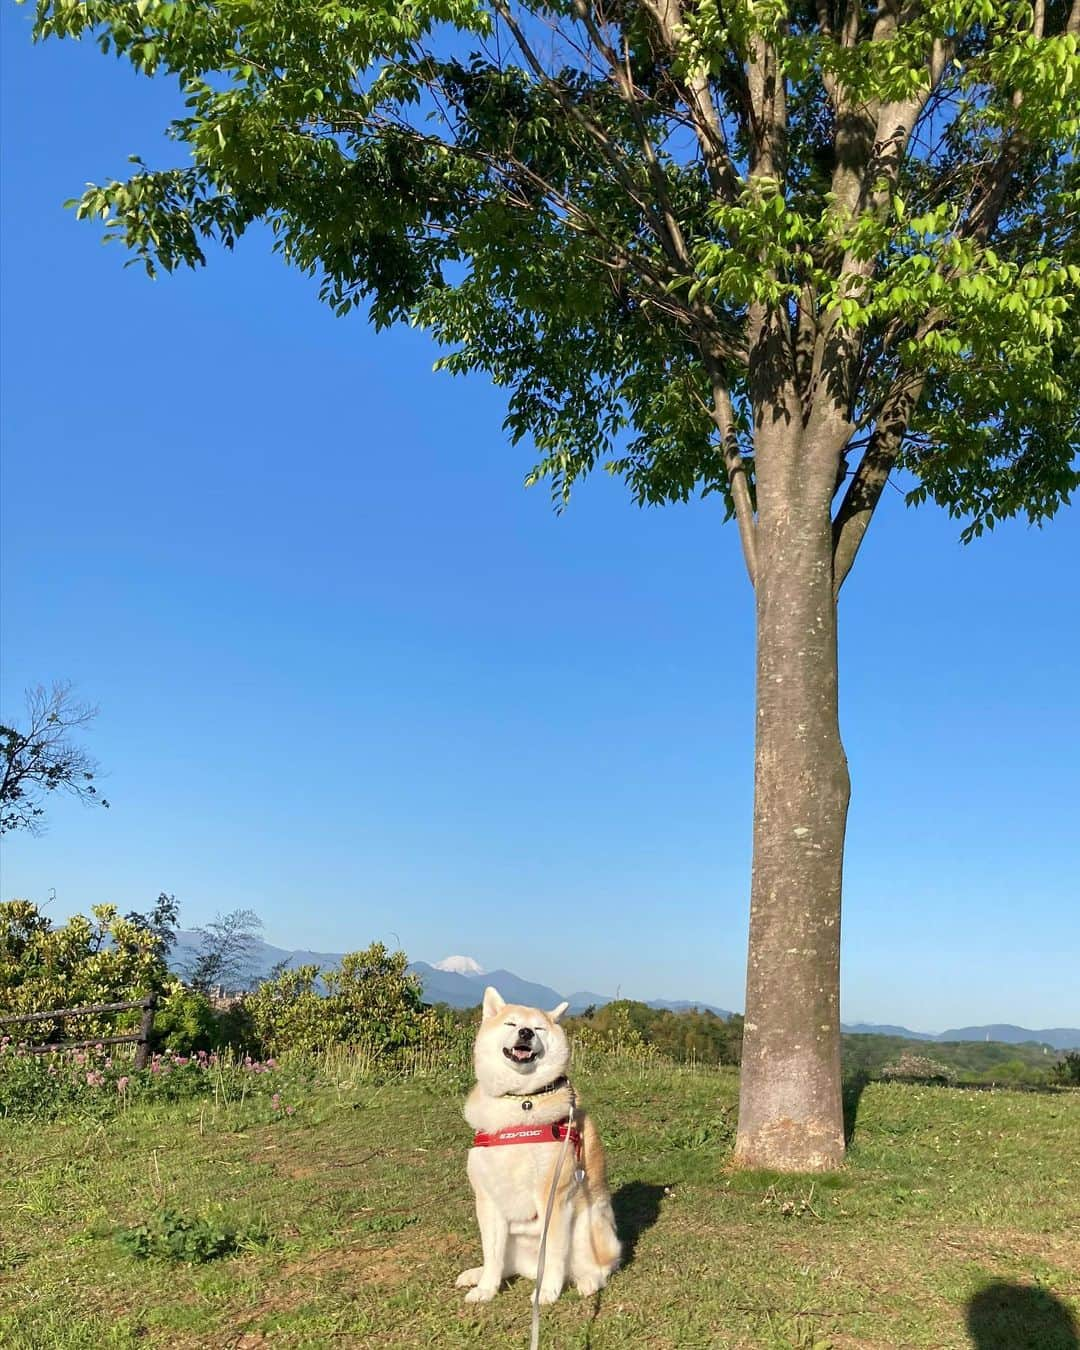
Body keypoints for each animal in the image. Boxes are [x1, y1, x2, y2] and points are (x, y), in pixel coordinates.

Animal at [459, 988, 623, 1301]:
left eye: (538, 1029)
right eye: (511, 1024)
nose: (525, 1032)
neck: (521, 1101)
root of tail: (528, 1268)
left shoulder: (554, 1196)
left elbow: (555, 1253)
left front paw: (547, 1292)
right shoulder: (487, 1199)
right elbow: (492, 1254)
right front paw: (486, 1289)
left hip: (587, 1224)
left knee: (600, 1267)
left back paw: (587, 1282)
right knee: (503, 1263)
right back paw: (476, 1275)